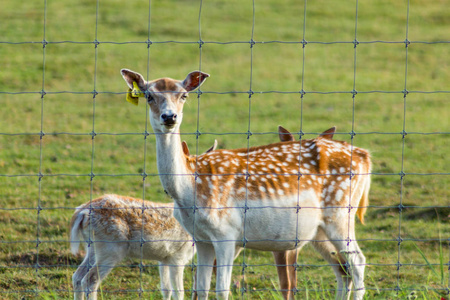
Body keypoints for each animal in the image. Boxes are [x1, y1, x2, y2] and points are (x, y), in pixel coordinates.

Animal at [120, 69, 372, 300]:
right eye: (149, 96)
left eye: (183, 95)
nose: (169, 117)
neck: (189, 191)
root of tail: (365, 156)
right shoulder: (200, 238)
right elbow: (200, 289)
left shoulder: (226, 232)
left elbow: (222, 290)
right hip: (319, 230)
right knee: (343, 271)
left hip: (341, 214)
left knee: (358, 262)